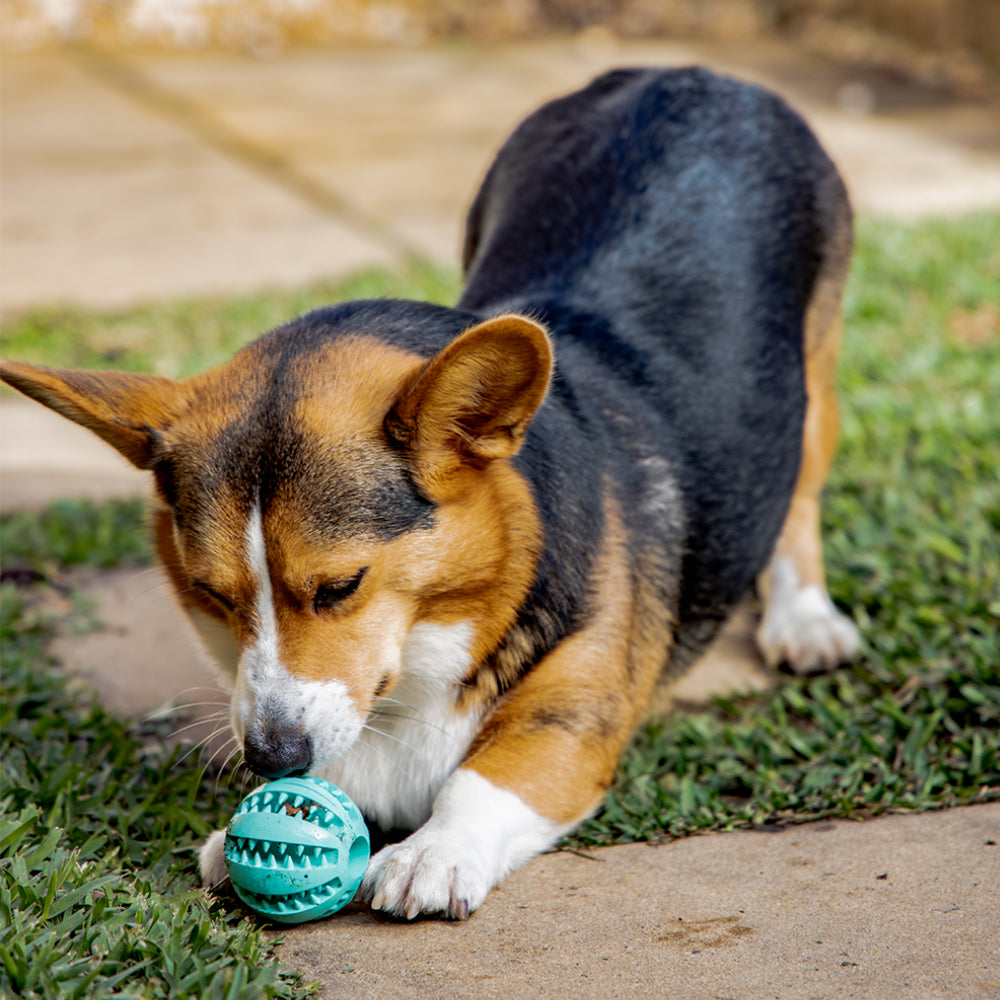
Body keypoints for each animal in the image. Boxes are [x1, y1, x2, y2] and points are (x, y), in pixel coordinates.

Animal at [1, 66, 860, 916]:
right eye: (211, 596)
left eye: (340, 587)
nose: (272, 758)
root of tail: (675, 73)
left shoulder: (572, 713)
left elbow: (486, 780)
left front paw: (433, 853)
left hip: (814, 387)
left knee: (800, 496)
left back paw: (804, 618)